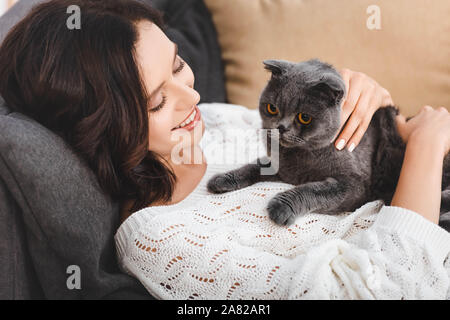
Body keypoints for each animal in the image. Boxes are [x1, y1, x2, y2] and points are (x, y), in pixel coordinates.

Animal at [207, 57, 450, 228]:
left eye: (304, 117)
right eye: (272, 108)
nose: (281, 127)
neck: (297, 157)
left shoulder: (354, 185)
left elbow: (312, 190)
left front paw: (280, 207)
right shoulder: (281, 169)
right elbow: (254, 165)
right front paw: (222, 179)